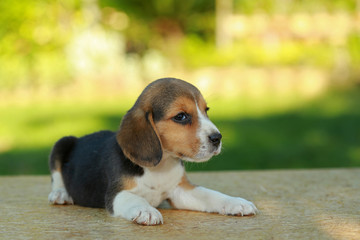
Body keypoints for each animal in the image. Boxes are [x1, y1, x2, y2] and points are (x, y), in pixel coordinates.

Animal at [47, 78, 258, 225]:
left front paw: (235, 202)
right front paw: (146, 211)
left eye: (206, 110)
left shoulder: (180, 190)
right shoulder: (116, 195)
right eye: (181, 116)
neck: (161, 166)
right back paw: (60, 194)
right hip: (62, 142)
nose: (217, 138)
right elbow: (135, 199)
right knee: (56, 176)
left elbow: (210, 194)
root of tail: (82, 137)